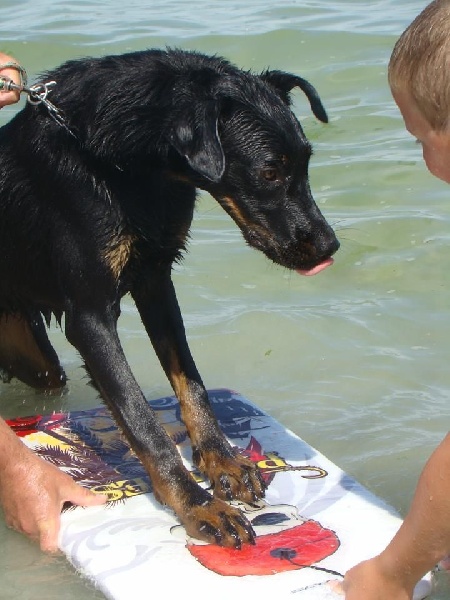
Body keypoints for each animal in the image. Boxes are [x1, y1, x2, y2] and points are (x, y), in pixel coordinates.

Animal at [0, 49, 338, 548]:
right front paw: (199, 506)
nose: (330, 246)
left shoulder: (156, 279)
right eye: (270, 172)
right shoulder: (90, 316)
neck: (118, 161)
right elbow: (143, 423)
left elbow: (190, 381)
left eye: (307, 163)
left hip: (33, 355)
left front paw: (223, 460)